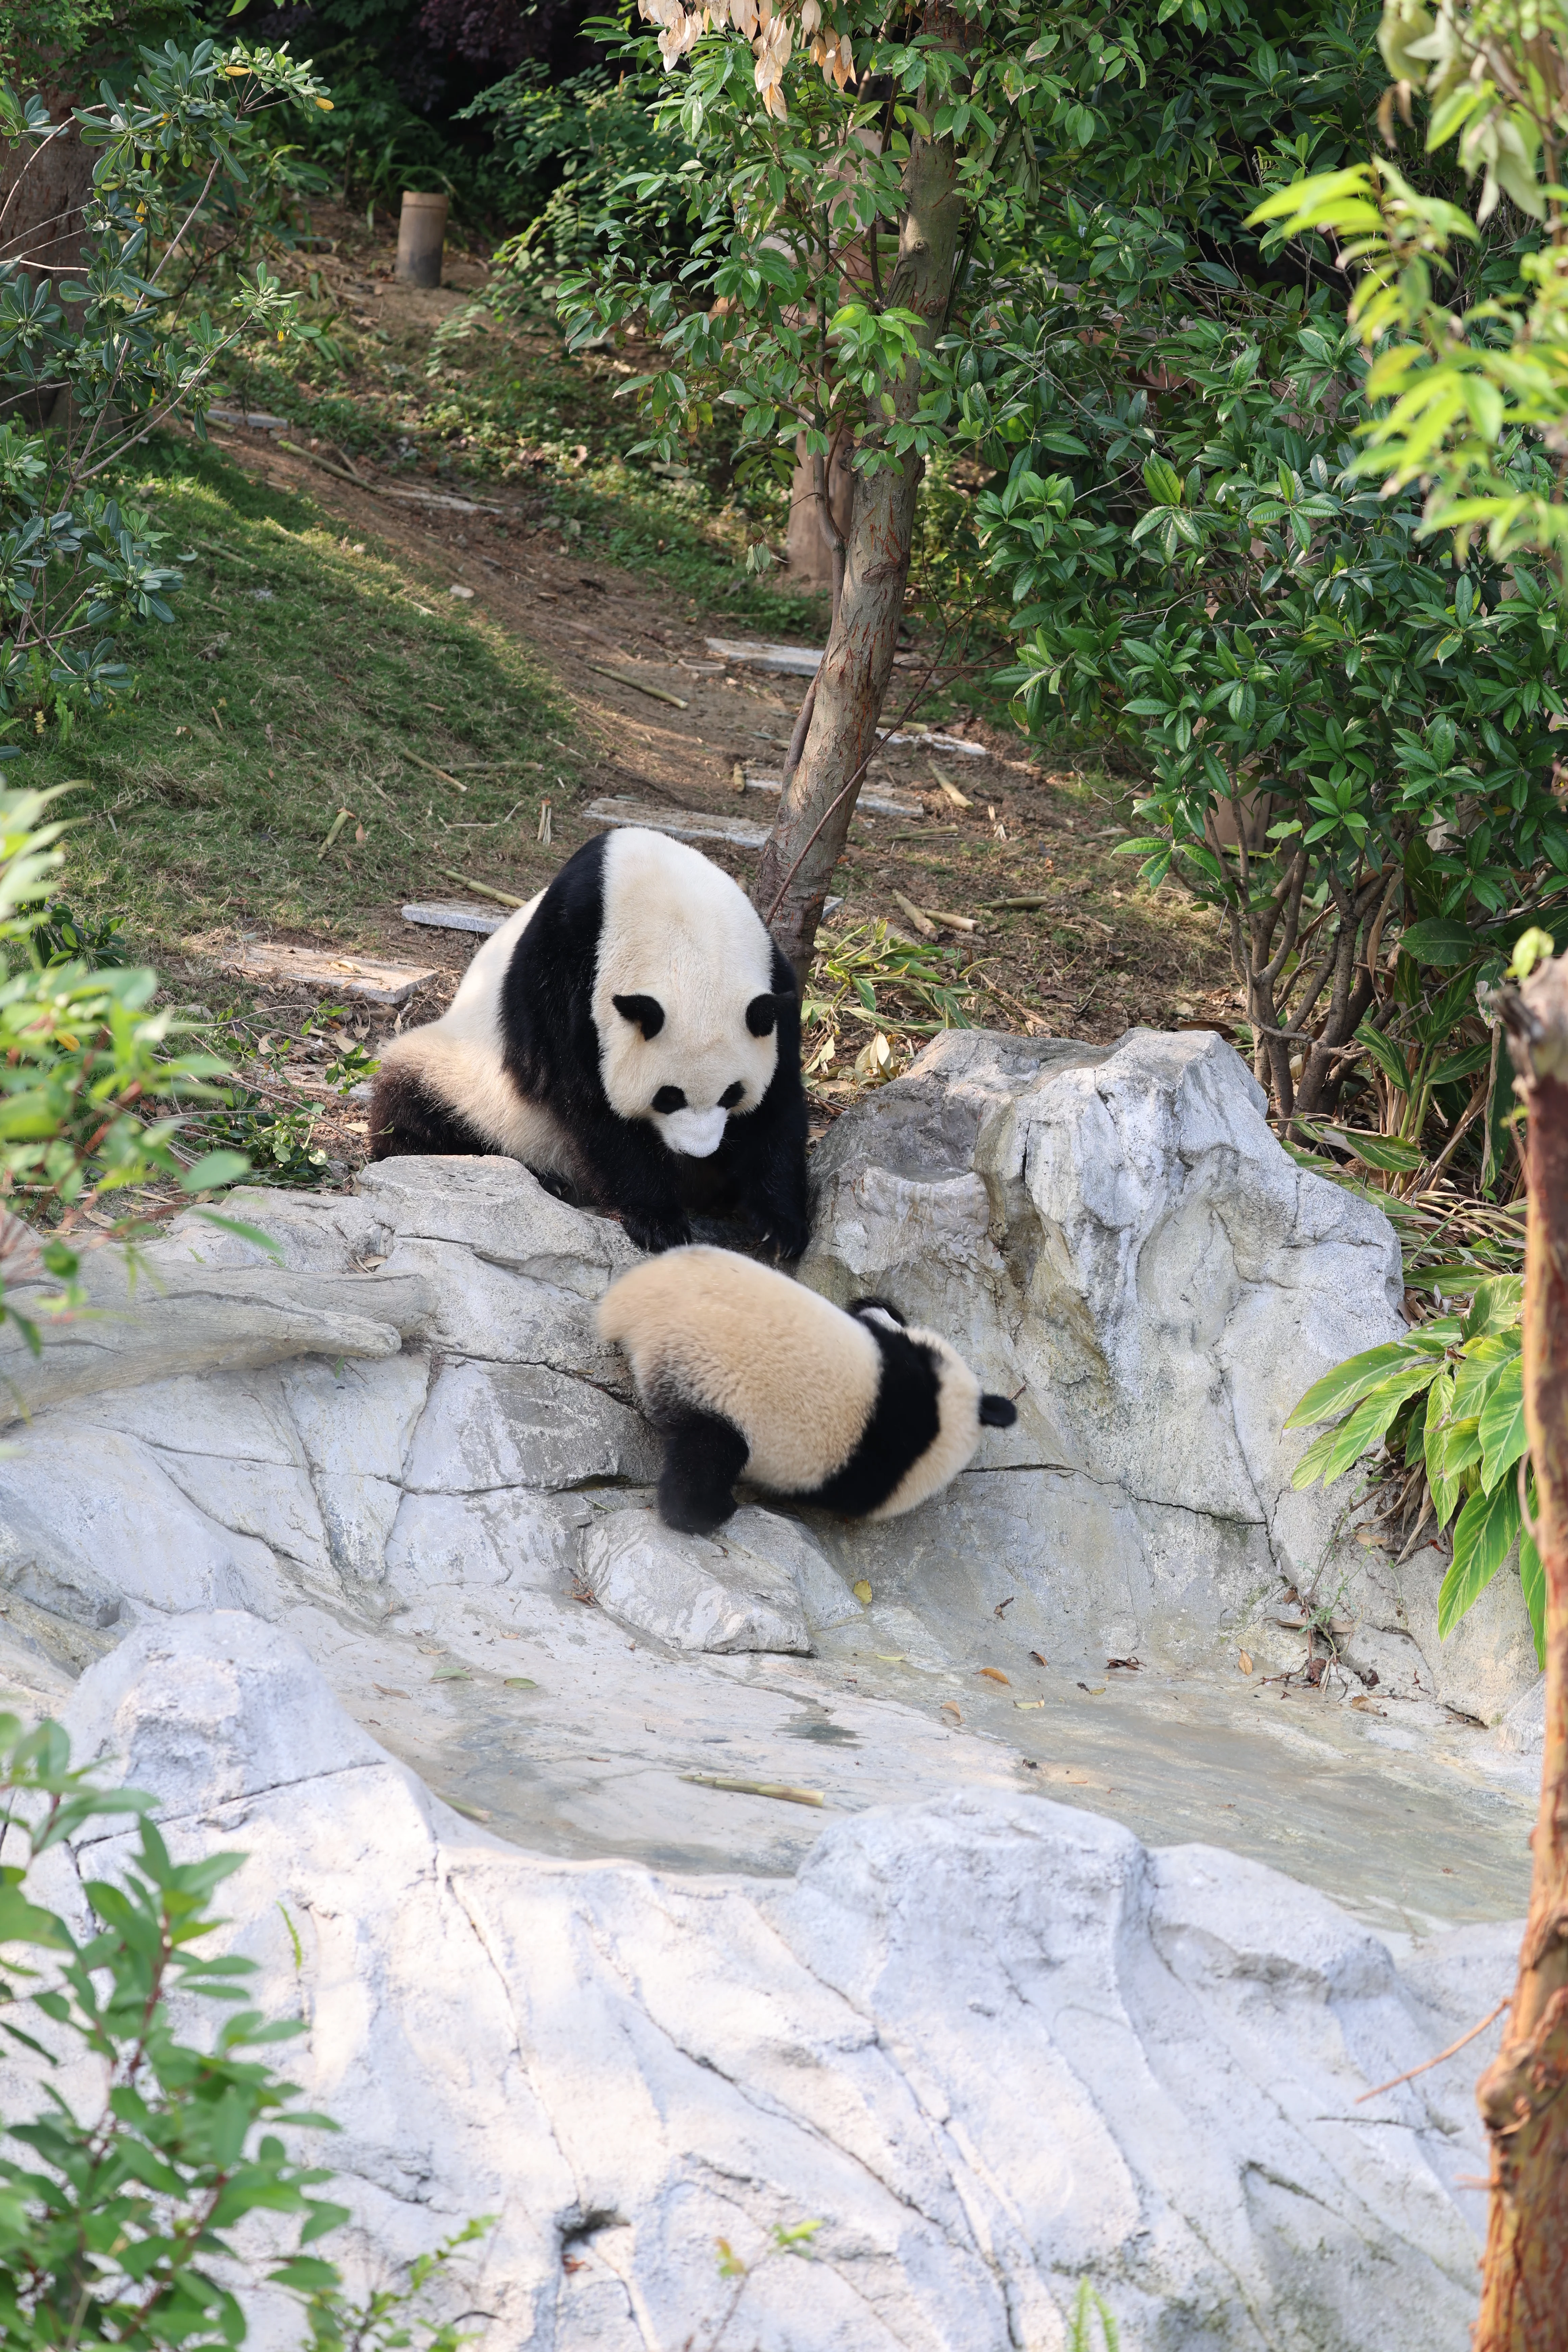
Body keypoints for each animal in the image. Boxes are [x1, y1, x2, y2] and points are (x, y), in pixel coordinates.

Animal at [370, 828, 810, 1258]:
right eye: (668, 1097)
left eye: (732, 1094)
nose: (697, 1153)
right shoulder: (566, 971)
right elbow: (587, 1103)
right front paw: (657, 1222)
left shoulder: (776, 986)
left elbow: (778, 1102)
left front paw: (780, 1228)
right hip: (468, 1077)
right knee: (411, 1106)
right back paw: (544, 1179)